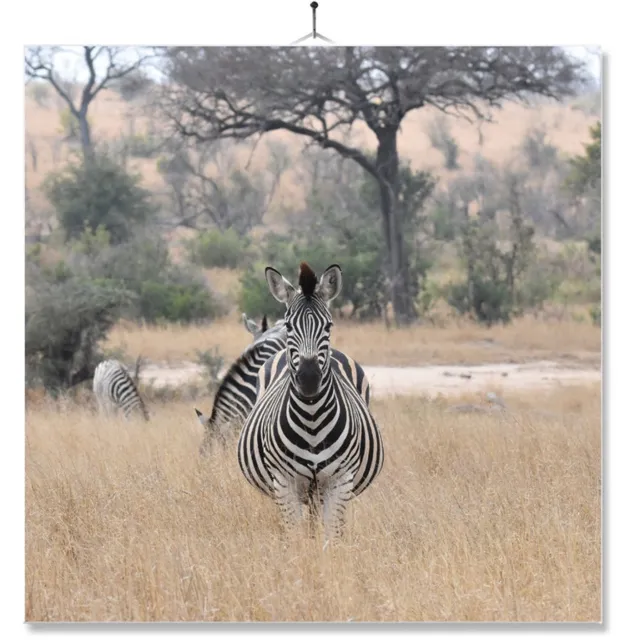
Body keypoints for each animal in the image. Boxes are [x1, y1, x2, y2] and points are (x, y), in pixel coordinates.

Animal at [237, 262, 384, 540]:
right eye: (289, 326)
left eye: (328, 326)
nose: (308, 379)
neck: (312, 416)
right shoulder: (284, 482)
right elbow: (294, 536)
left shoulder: (339, 482)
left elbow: (332, 538)